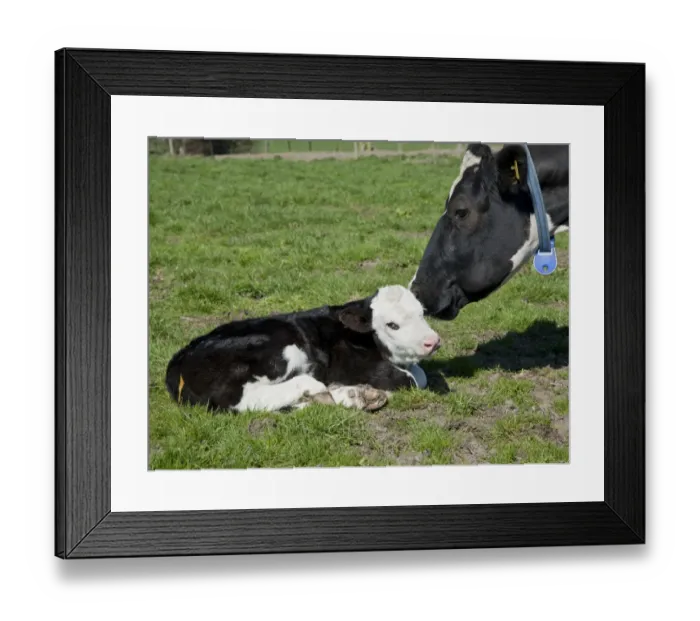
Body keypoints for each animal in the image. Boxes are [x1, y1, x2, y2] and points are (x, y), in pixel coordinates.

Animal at [165, 285, 441, 413]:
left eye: (422, 313)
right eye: (392, 324)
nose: (433, 341)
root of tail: (178, 361)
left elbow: (421, 373)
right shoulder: (355, 366)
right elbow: (413, 379)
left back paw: (352, 396)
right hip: (282, 350)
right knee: (241, 399)